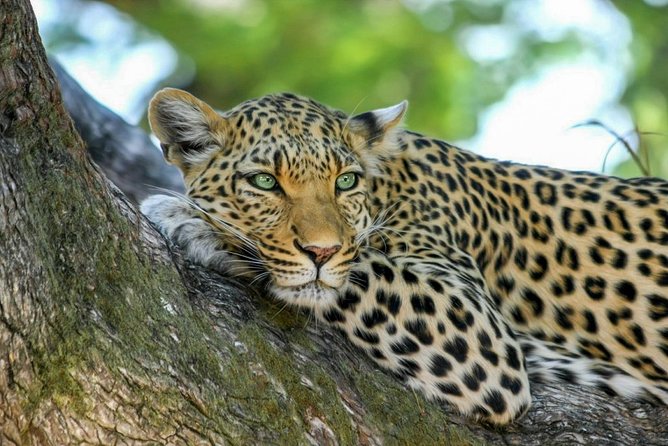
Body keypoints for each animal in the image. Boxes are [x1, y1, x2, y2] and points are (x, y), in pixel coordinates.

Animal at [140, 87, 668, 425]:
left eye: (345, 181)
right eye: (265, 181)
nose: (321, 250)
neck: (389, 186)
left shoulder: (478, 330)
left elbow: (359, 270)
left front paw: (193, 220)